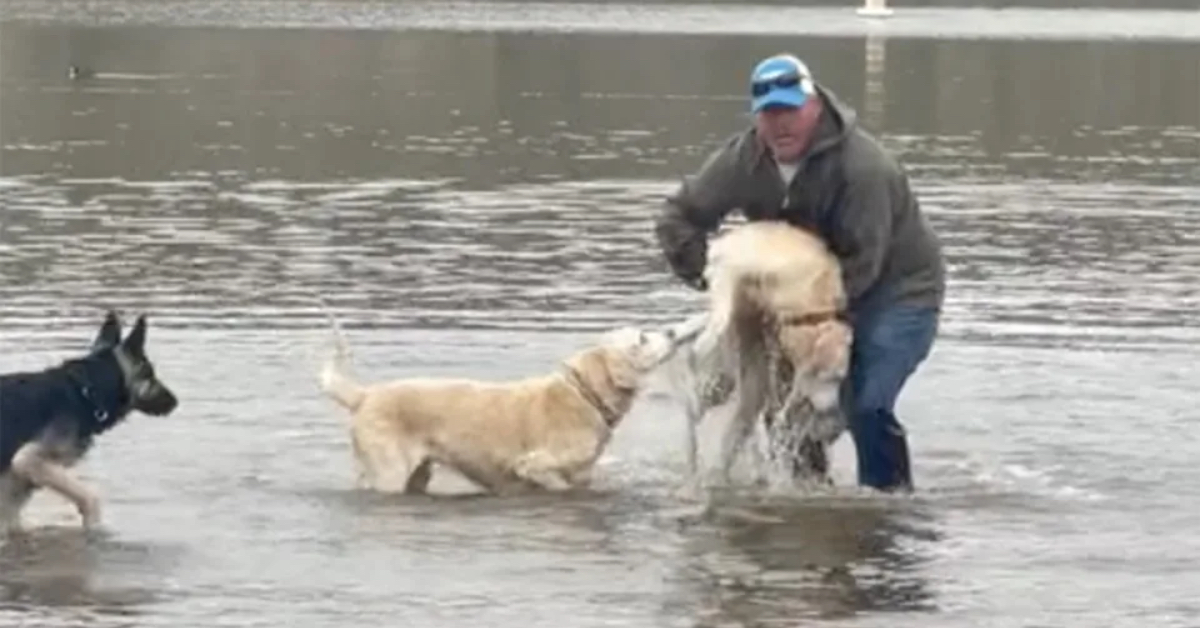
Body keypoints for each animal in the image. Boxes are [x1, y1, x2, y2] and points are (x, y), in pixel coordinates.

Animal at [1, 312, 177, 533]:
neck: (88, 393)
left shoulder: (17, 483)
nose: (175, 402)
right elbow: (90, 497)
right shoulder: (28, 460)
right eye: (150, 375)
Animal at [314, 302, 700, 499]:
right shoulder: (533, 466)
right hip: (390, 473)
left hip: (416, 473)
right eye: (642, 338)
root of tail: (365, 394)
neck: (585, 396)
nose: (671, 332)